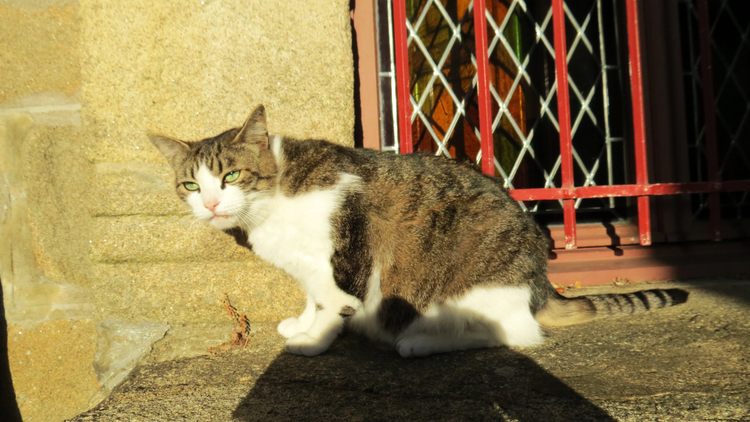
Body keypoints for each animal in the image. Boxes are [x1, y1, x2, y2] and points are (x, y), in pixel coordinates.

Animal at [150, 104, 692, 356]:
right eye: (190, 185)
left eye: (230, 176)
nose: (211, 202)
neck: (276, 198)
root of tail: (540, 285)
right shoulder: (306, 267)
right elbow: (313, 296)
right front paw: (301, 323)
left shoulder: (342, 252)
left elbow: (334, 302)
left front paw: (313, 340)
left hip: (472, 286)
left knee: (516, 334)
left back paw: (420, 342)